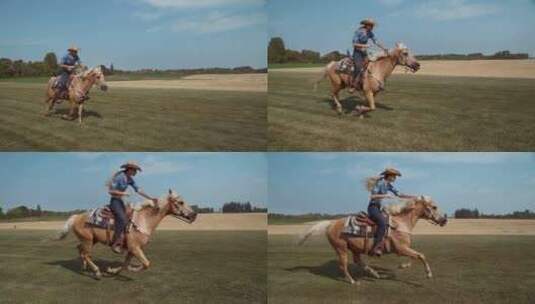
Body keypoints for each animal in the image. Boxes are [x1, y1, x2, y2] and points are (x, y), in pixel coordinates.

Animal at [56, 190, 197, 280]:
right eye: (181, 202)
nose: (194, 215)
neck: (142, 220)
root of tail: (76, 217)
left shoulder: (132, 249)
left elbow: (125, 264)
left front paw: (111, 271)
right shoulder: (135, 248)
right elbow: (146, 264)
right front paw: (132, 269)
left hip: (91, 240)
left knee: (81, 250)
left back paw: (84, 267)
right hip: (88, 240)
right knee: (85, 254)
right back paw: (96, 272)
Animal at [298, 196, 448, 284]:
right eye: (434, 207)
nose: (444, 220)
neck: (400, 223)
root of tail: (331, 224)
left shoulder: (404, 249)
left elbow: (415, 257)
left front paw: (402, 266)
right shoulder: (401, 248)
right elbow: (421, 255)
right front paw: (428, 274)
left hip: (354, 249)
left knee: (358, 262)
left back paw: (375, 274)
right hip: (341, 249)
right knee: (343, 266)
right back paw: (353, 281)